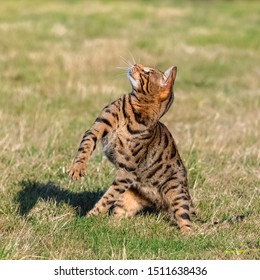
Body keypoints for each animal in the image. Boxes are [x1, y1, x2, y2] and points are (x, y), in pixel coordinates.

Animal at [69, 63, 195, 234]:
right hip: (127, 198)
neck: (136, 113)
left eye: (147, 72)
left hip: (177, 193)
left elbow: (108, 197)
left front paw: (91, 216)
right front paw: (77, 169)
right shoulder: (95, 130)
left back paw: (187, 236)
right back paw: (111, 227)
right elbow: (85, 148)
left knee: (186, 220)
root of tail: (156, 202)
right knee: (119, 215)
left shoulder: (127, 172)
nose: (135, 64)